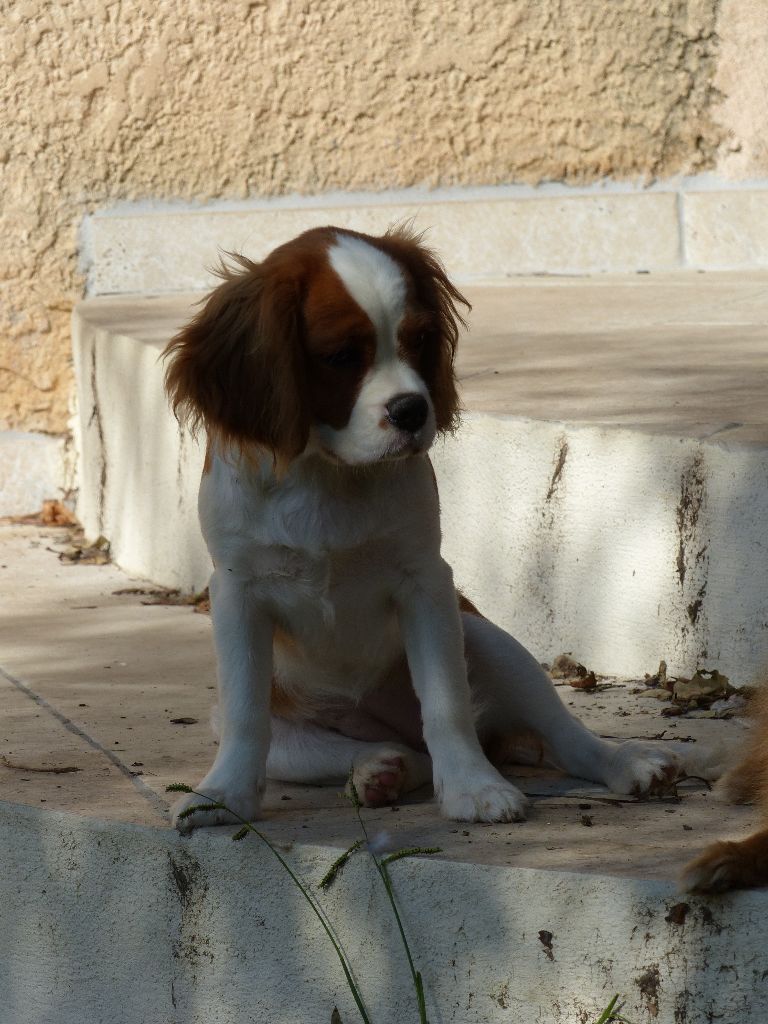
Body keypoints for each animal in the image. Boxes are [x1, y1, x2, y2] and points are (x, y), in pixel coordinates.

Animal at [163, 226, 679, 831]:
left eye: (419, 340)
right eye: (342, 356)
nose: (412, 410)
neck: (331, 472)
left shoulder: (426, 582)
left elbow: (446, 703)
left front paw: (474, 788)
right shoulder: (238, 592)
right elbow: (249, 717)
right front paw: (223, 796)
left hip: (487, 640)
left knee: (562, 735)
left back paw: (626, 764)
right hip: (272, 724)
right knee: (389, 751)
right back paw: (378, 771)